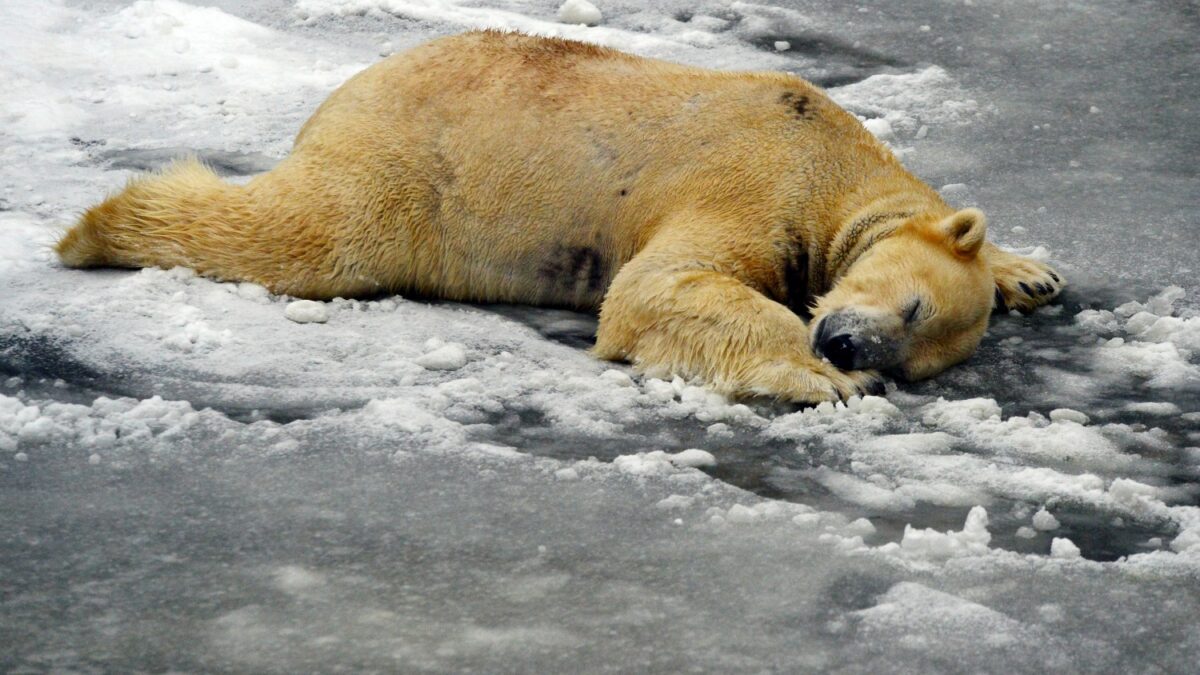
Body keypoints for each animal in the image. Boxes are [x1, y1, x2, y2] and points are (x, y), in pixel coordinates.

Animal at [60, 30, 1065, 398]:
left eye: (917, 349)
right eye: (911, 307)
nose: (851, 347)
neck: (831, 156)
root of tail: (350, 86)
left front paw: (1033, 271)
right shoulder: (755, 172)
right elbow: (659, 287)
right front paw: (811, 376)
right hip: (411, 167)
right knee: (307, 232)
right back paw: (96, 227)